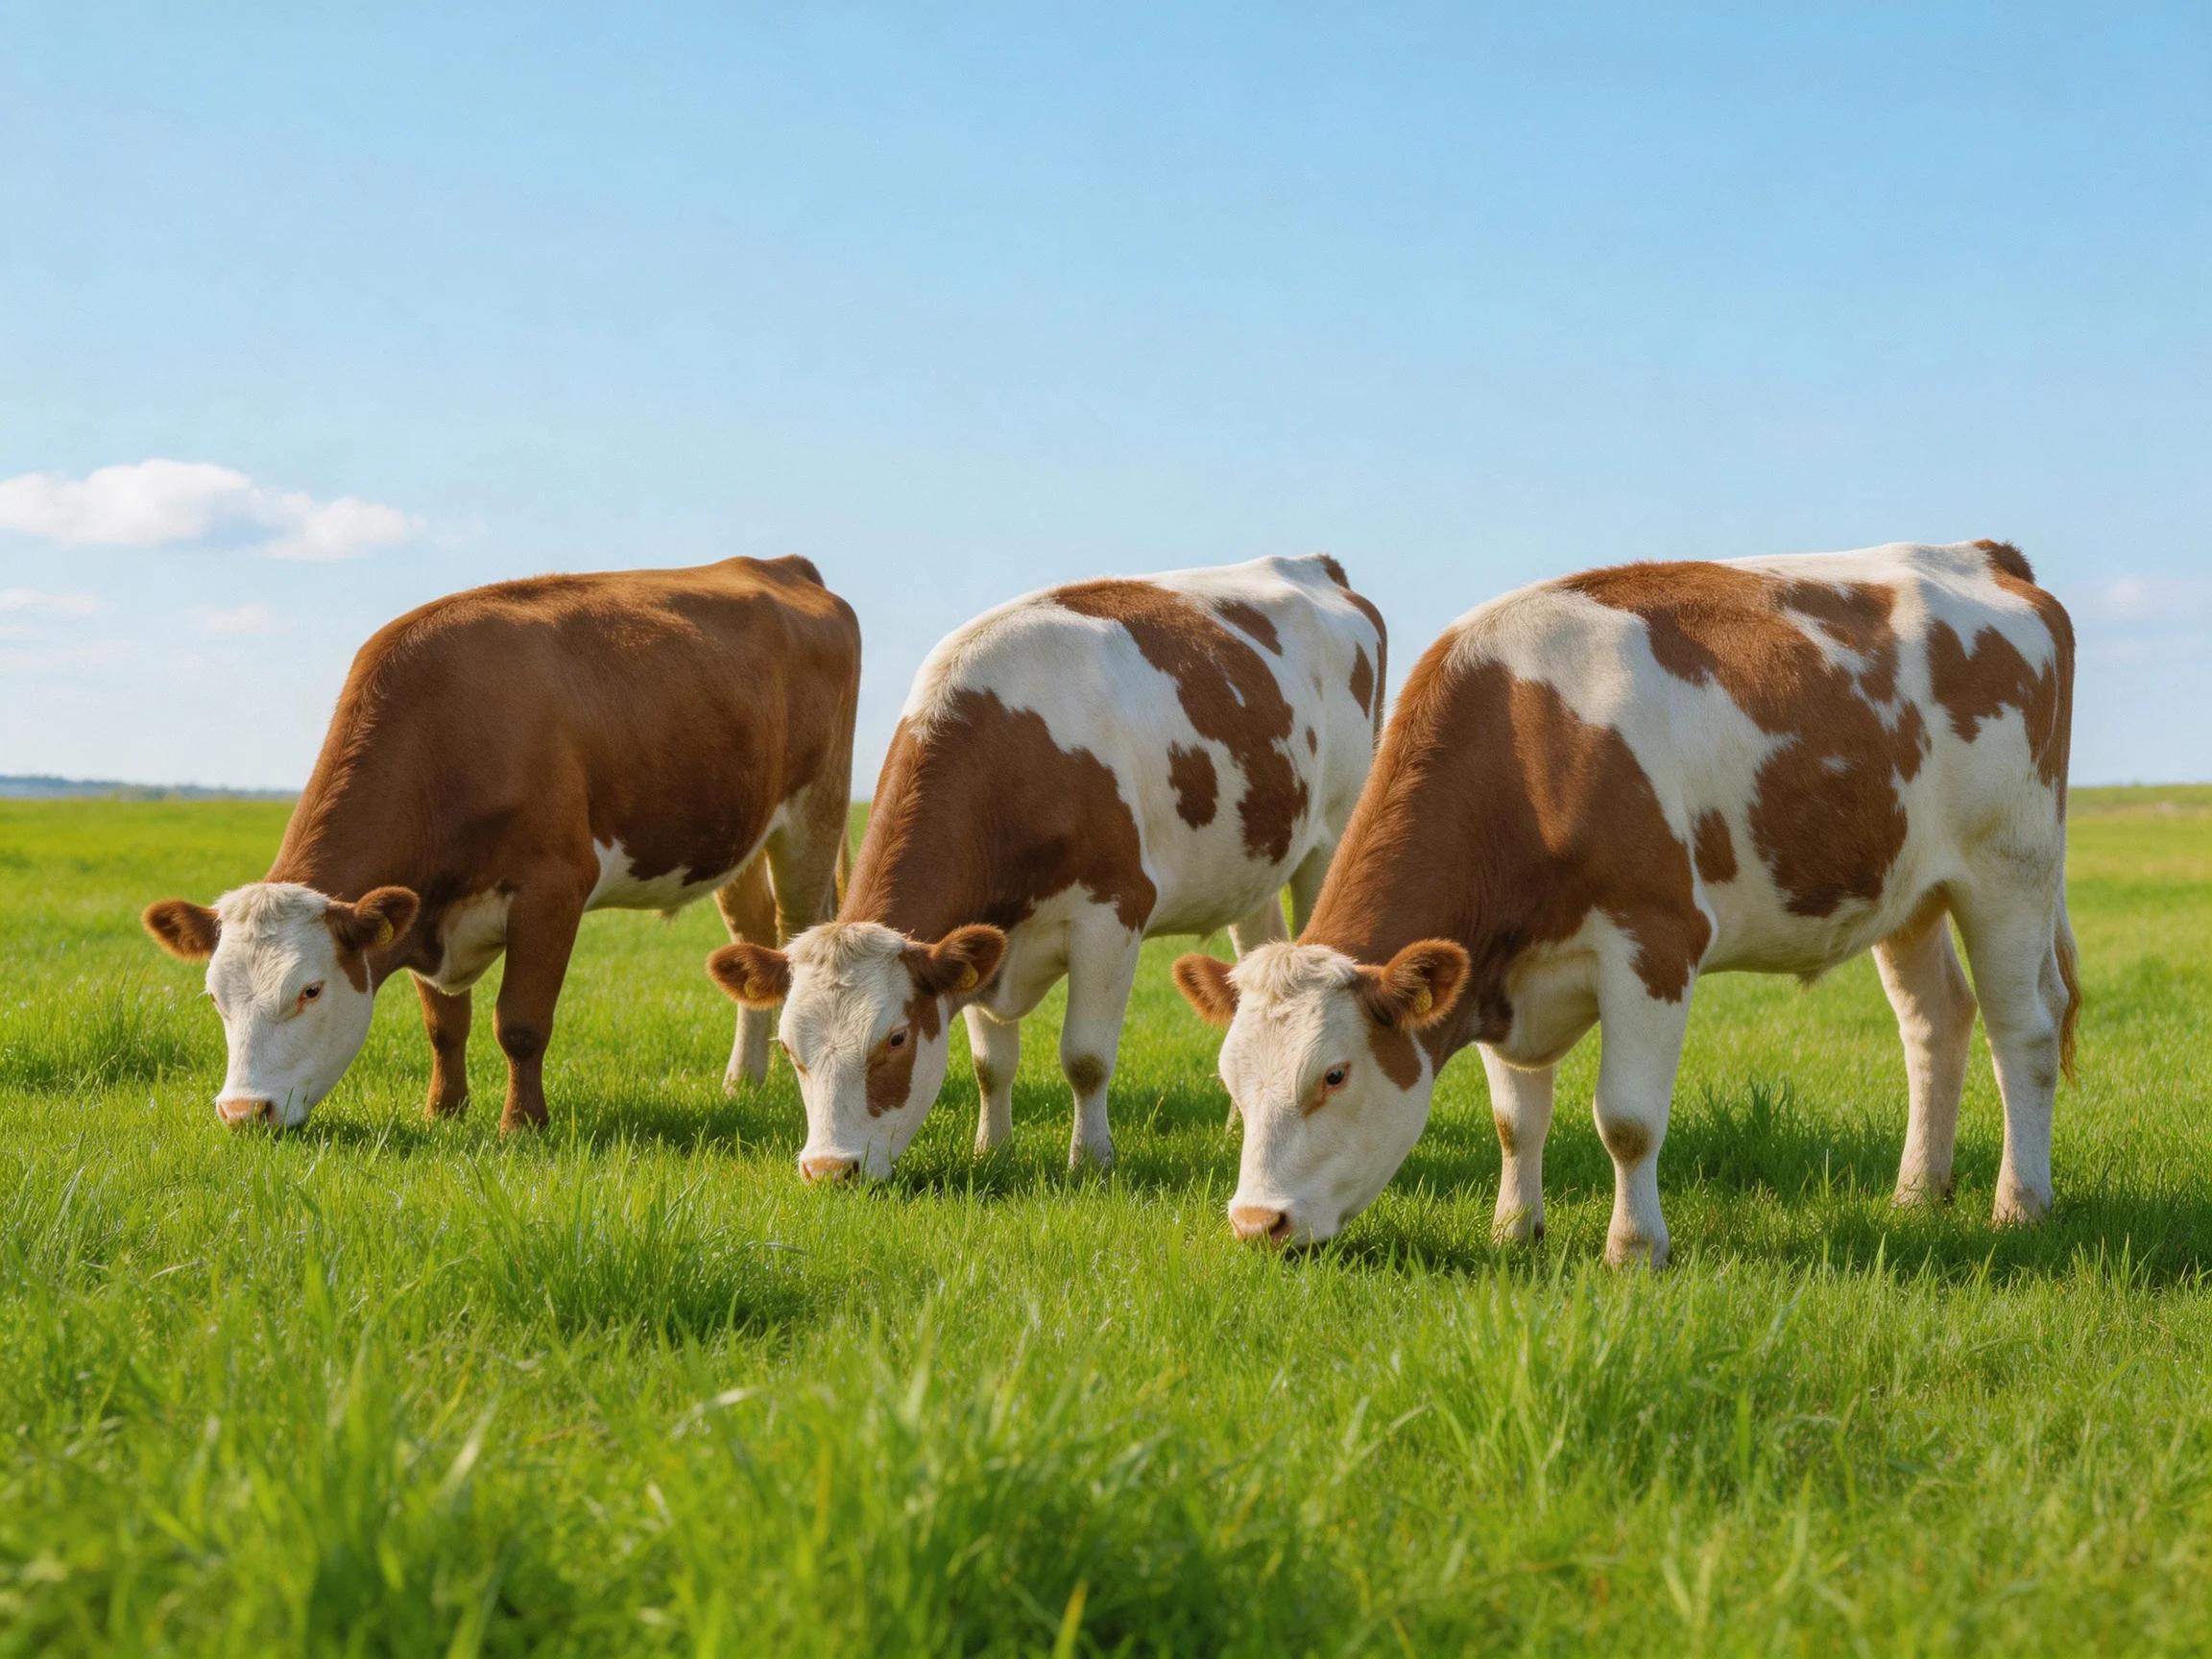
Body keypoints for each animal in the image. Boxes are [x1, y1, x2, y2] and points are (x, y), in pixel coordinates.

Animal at [141, 555, 859, 1131]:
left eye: (311, 990)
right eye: (214, 996)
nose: (242, 1112)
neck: (450, 730)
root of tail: (779, 564)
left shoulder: (553, 888)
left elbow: (519, 1022)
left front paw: (522, 1125)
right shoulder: (424, 903)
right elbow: (444, 1026)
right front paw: (444, 1111)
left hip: (813, 815)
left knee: (795, 928)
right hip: (739, 836)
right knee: (753, 931)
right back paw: (744, 1080)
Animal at [706, 553, 1387, 1182]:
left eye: (894, 1038)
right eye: (791, 1047)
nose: (828, 1170)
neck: (1015, 756)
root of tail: (1312, 564)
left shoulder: (1113, 917)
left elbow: (1085, 1058)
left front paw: (1092, 1162)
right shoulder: (984, 936)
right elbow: (990, 1065)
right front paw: (991, 1150)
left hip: (1332, 839)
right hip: (1254, 867)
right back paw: (1239, 1125)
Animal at [1174, 540, 2078, 1265]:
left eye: (1333, 1075)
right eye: (1230, 1080)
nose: (1256, 1223)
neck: (1531, 751)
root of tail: (1984, 554)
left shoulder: (1653, 945)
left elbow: (1628, 1120)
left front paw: (1635, 1248)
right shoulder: (1495, 969)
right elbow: (1516, 1119)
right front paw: (1515, 1232)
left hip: (2010, 867)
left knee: (2024, 1033)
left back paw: (2021, 1205)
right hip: (1910, 888)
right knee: (1936, 1023)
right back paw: (1918, 1194)